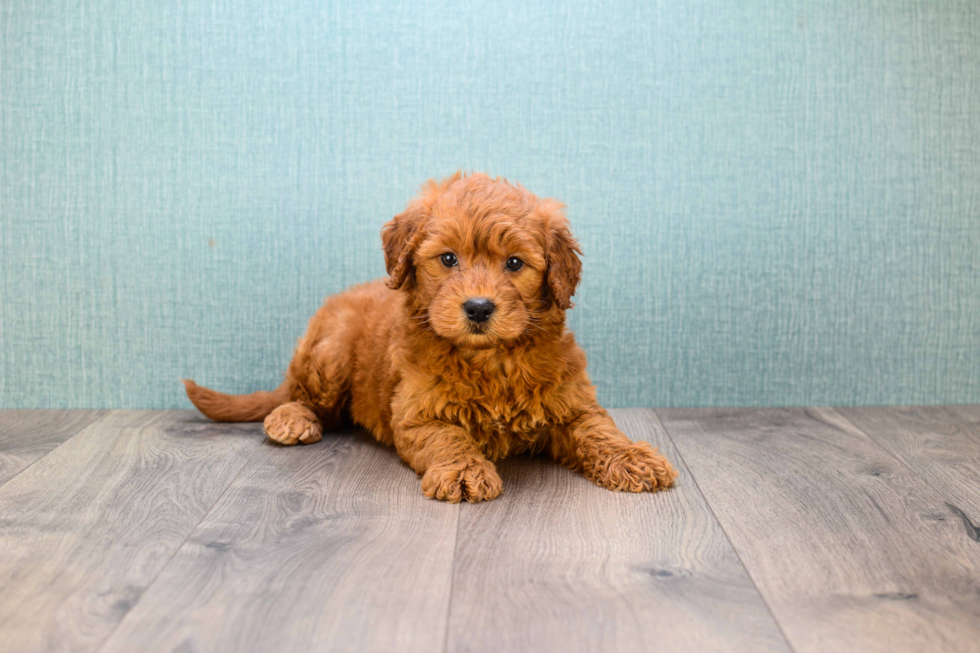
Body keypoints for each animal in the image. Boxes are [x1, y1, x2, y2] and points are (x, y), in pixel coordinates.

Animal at [182, 172, 672, 500]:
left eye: (514, 263)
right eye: (448, 259)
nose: (478, 307)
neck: (490, 359)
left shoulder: (573, 405)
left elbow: (600, 431)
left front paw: (634, 458)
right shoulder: (418, 415)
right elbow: (449, 439)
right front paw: (464, 472)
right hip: (329, 353)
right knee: (300, 395)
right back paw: (292, 418)